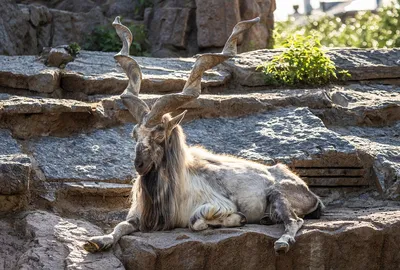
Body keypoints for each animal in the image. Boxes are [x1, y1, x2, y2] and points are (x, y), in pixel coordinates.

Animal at [83, 16, 322, 253]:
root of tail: (308, 191)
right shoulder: (139, 215)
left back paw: (282, 242)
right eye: (134, 134)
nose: (139, 164)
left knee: (295, 221)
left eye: (159, 134)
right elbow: (121, 225)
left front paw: (237, 219)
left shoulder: (217, 204)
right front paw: (97, 241)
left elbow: (196, 221)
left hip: (278, 194)